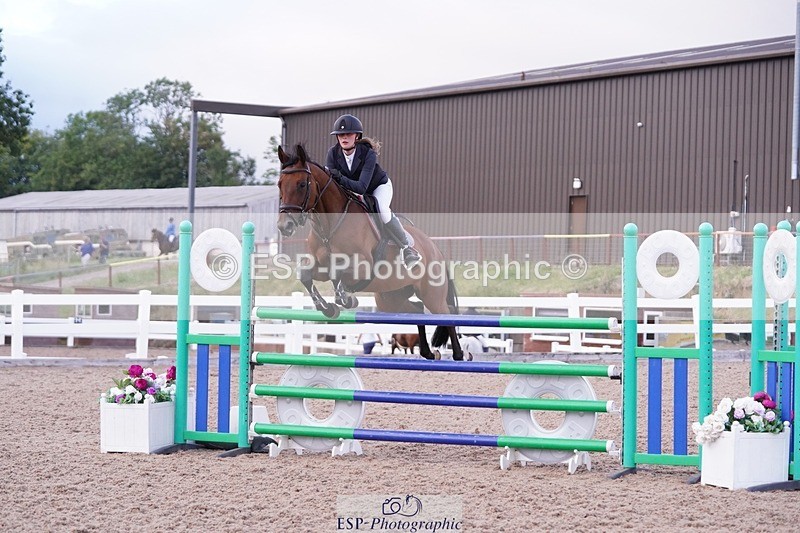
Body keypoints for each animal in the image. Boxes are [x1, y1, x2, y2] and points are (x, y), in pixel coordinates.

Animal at [277, 144, 464, 361]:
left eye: (301, 184)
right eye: (279, 184)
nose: (284, 226)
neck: (329, 226)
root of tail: (436, 249)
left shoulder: (362, 265)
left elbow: (338, 273)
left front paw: (345, 298)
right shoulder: (319, 265)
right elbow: (306, 275)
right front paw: (329, 308)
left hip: (431, 295)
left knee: (447, 313)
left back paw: (459, 354)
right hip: (390, 299)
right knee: (417, 312)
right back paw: (428, 352)